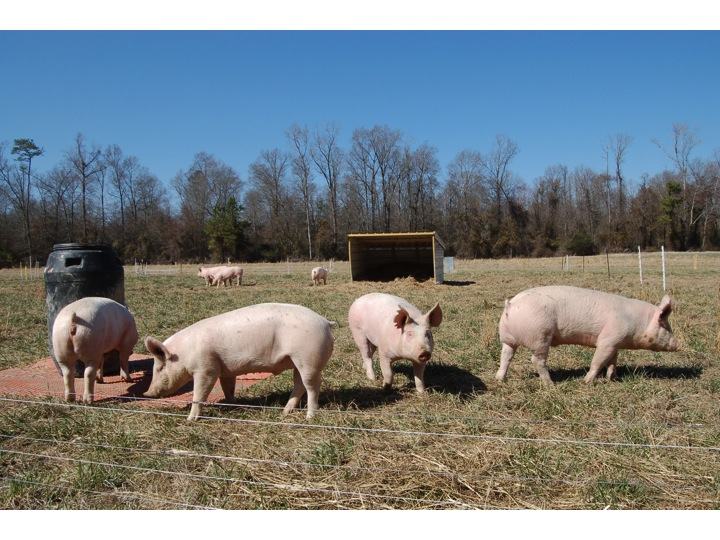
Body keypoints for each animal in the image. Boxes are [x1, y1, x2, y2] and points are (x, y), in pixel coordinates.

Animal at [143, 303, 336, 420]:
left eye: (159, 367)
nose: (147, 393)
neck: (185, 352)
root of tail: (325, 321)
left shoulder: (206, 369)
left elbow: (199, 393)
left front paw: (191, 419)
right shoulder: (225, 370)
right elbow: (228, 388)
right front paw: (233, 406)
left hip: (308, 358)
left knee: (312, 386)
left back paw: (309, 416)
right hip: (298, 361)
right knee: (299, 384)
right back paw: (284, 412)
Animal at [495, 285, 680, 385]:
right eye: (666, 326)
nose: (678, 344)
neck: (638, 323)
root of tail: (511, 304)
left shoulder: (615, 343)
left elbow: (613, 361)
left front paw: (612, 378)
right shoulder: (607, 340)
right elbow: (598, 361)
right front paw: (586, 382)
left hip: (507, 338)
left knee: (506, 356)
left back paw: (500, 379)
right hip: (540, 336)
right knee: (536, 360)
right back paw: (551, 384)